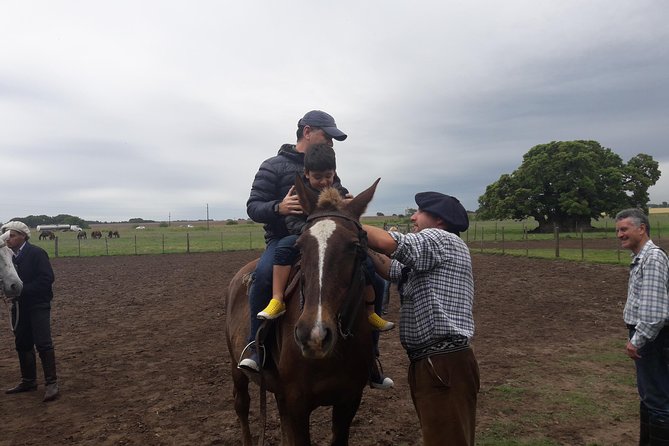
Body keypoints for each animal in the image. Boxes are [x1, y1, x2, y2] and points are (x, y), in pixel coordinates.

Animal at [226, 177, 380, 446]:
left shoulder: (350, 400)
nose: (314, 335)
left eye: (355, 247)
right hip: (238, 368)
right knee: (242, 405)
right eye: (299, 245)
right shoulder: (297, 402)